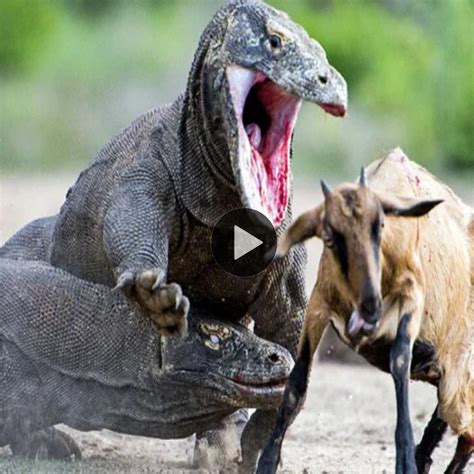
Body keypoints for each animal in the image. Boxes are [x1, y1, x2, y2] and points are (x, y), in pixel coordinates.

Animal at [258, 148, 472, 474]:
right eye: (329, 237)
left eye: (381, 226)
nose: (370, 307)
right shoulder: (319, 304)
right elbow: (296, 385)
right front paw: (266, 462)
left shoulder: (412, 298)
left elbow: (400, 361)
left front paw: (405, 461)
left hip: (457, 378)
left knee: (464, 430)